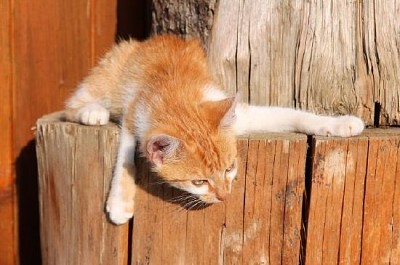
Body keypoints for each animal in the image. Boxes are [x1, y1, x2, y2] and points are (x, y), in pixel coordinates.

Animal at [64, 34, 364, 224]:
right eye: (199, 182)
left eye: (230, 168)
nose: (224, 196)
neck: (178, 97)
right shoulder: (135, 114)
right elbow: (126, 158)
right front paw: (119, 203)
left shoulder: (242, 114)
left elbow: (292, 114)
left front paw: (341, 123)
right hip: (111, 75)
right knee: (72, 104)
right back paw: (92, 112)